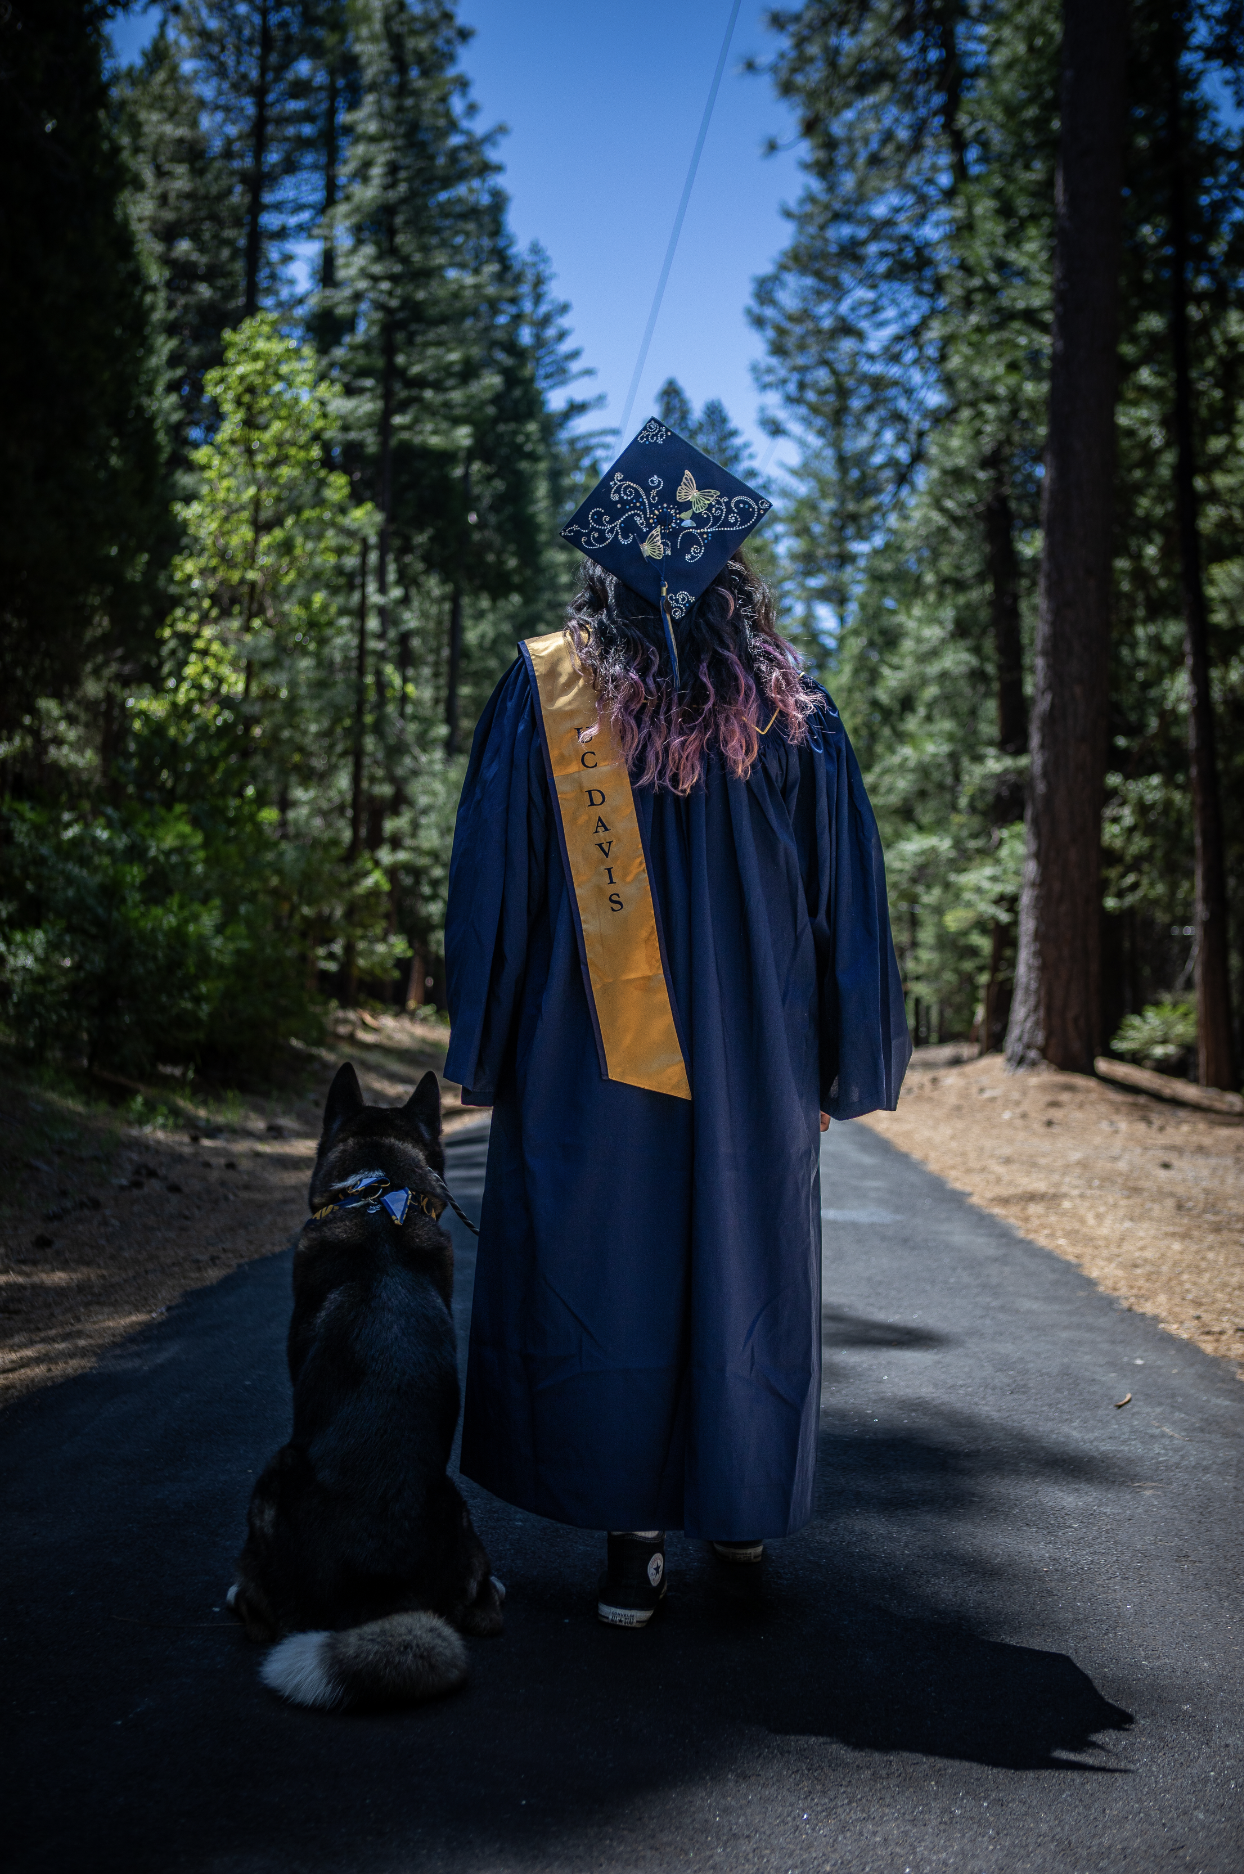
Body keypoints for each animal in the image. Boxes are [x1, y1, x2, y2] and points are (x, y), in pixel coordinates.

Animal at [227, 1062, 503, 1711]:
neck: (378, 1196)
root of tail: (376, 1600)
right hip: (460, 1512)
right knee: (487, 1610)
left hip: (273, 1473)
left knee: (259, 1612)